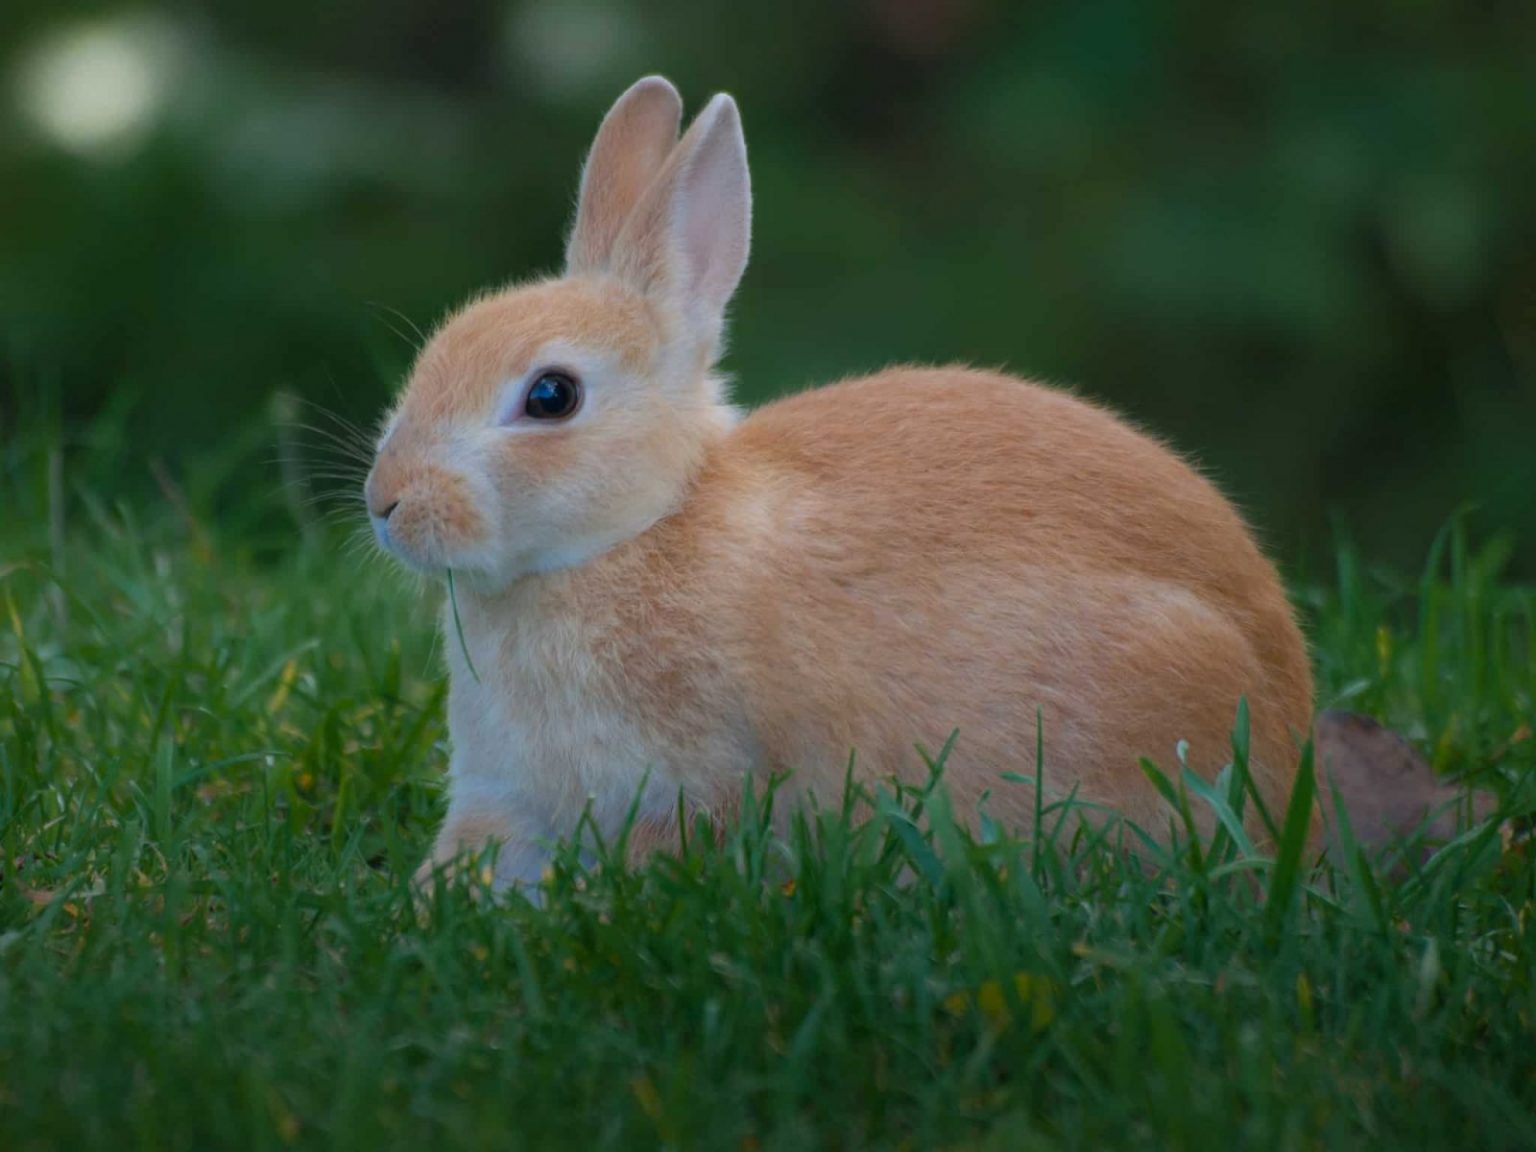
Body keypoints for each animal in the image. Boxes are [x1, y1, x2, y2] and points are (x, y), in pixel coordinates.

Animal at [363, 76, 1314, 892]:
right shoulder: (506, 795)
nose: (386, 503)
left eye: (551, 396)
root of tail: (1289, 719)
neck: (640, 530)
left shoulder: (689, 782)